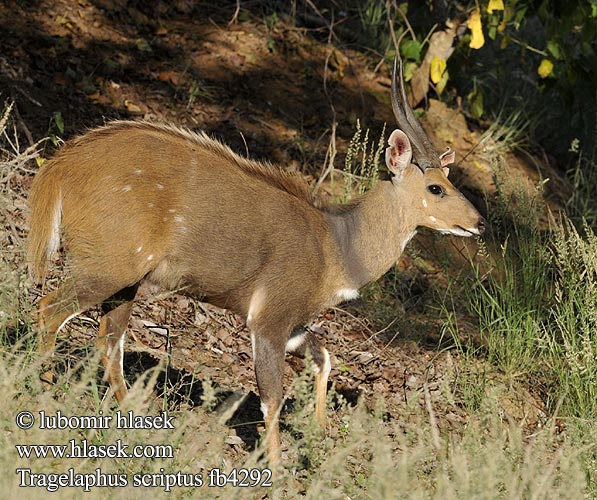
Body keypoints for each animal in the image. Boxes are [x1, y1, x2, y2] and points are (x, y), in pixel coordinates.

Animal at [28, 60, 484, 466]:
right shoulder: (267, 319)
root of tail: (62, 165)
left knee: (109, 338)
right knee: (51, 310)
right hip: (110, 267)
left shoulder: (291, 322)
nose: (479, 222)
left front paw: (319, 434)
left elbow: (324, 356)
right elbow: (272, 398)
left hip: (127, 281)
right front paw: (277, 470)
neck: (336, 246)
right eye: (436, 188)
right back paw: (43, 393)